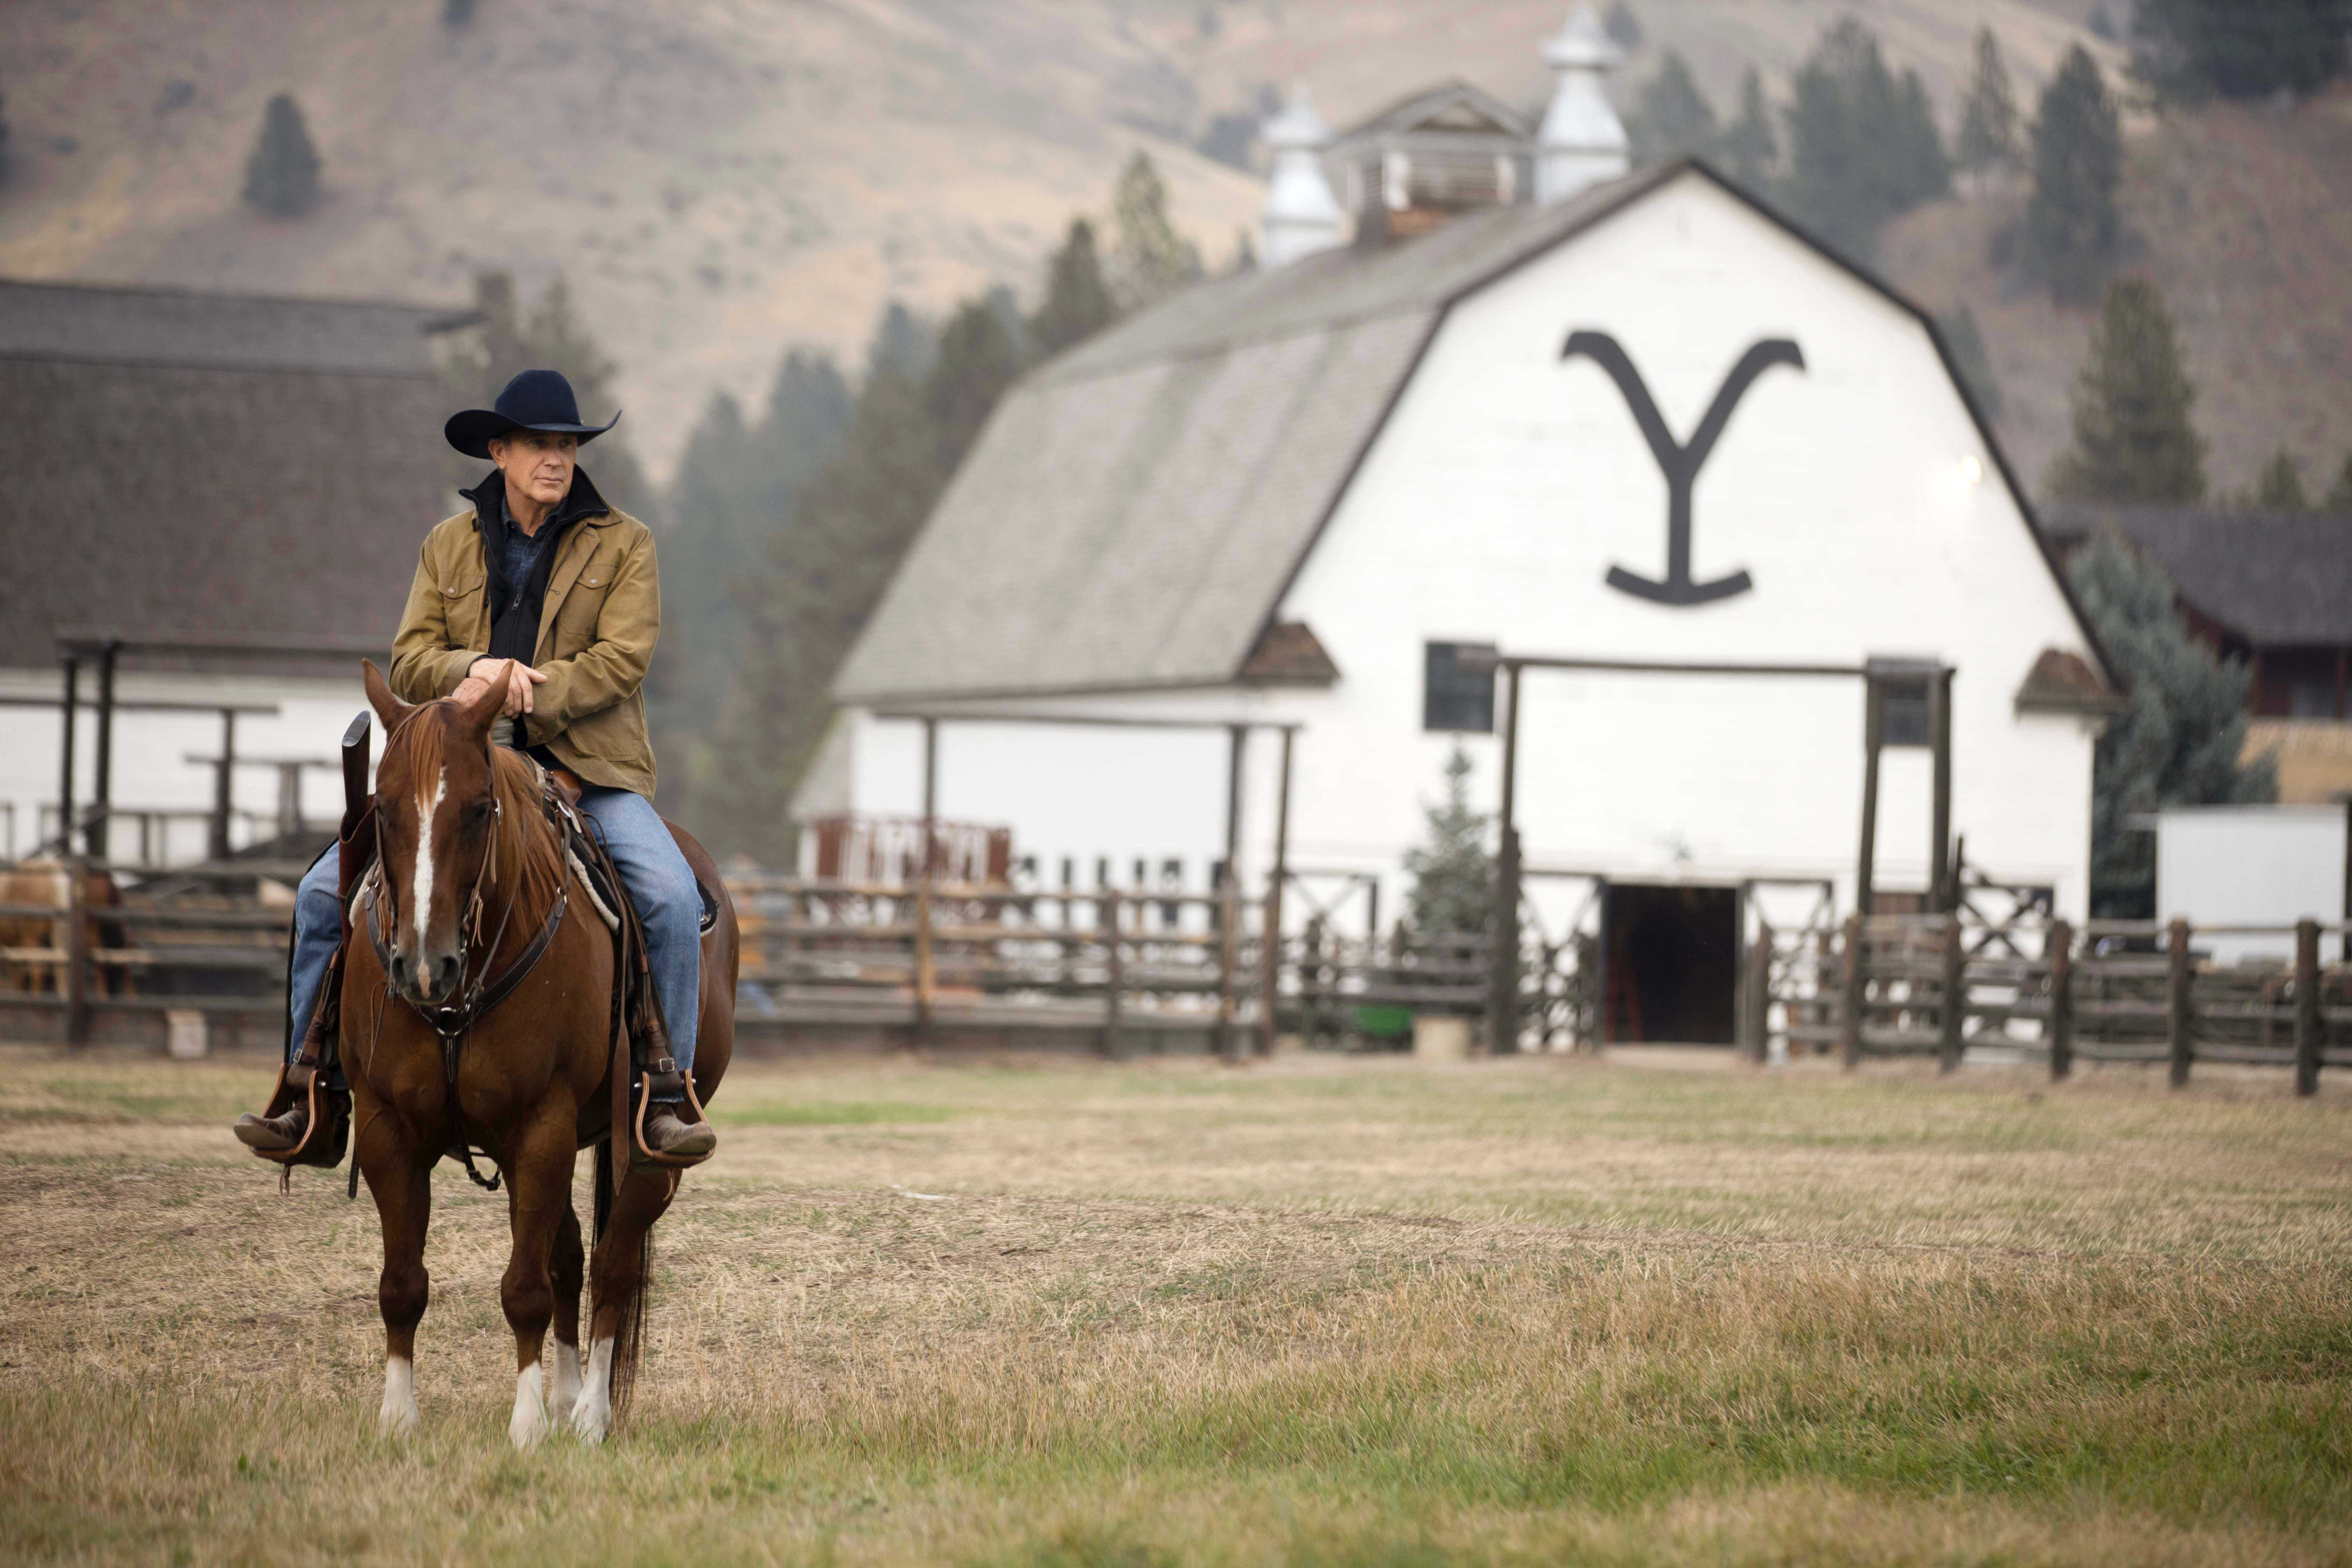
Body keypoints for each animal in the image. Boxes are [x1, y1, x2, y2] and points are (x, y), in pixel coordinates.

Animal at [348, 663, 729, 1448]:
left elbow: (525, 1287)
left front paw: (525, 1425)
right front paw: (398, 1417)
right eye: (384, 808)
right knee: (572, 1258)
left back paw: (588, 1416)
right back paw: (568, 1395)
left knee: (612, 1266)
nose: (424, 966)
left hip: (644, 1150)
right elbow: (402, 1283)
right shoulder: (385, 1127)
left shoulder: (542, 1127)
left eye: (479, 808)